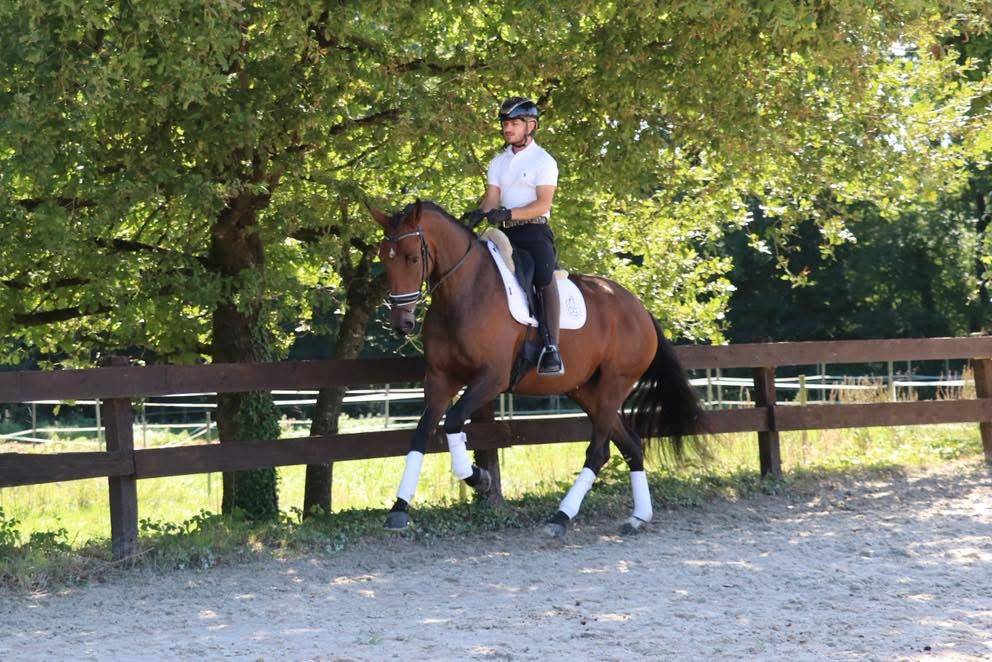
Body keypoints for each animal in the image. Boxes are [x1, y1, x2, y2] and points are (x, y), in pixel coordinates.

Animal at [370, 200, 704, 537]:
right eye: (384, 258)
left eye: (413, 258)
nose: (402, 323)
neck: (464, 291)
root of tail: (640, 310)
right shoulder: (441, 378)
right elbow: (421, 433)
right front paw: (399, 509)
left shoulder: (491, 379)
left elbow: (452, 422)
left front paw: (480, 477)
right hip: (587, 391)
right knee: (631, 445)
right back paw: (638, 516)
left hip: (615, 384)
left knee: (598, 451)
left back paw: (561, 516)